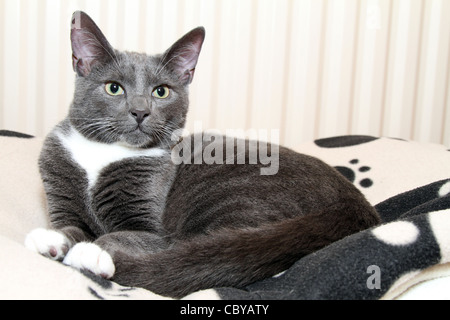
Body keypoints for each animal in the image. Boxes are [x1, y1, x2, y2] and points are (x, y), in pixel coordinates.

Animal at [25, 11, 380, 298]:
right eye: (114, 88)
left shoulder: (154, 228)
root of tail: (355, 203)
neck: (103, 153)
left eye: (161, 91)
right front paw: (51, 238)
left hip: (234, 191)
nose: (140, 112)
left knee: (199, 250)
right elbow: (69, 227)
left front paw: (92, 252)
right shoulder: (59, 186)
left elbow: (131, 237)